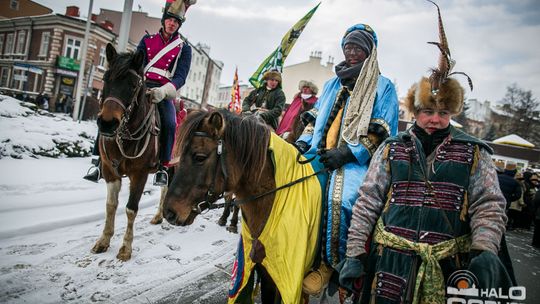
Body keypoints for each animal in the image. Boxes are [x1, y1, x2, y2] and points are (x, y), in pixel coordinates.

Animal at [90, 43, 168, 262]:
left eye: (133, 85)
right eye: (106, 78)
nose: (107, 123)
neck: (124, 137)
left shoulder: (139, 174)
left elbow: (131, 209)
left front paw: (126, 247)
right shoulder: (109, 171)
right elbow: (110, 205)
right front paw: (104, 240)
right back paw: (159, 216)